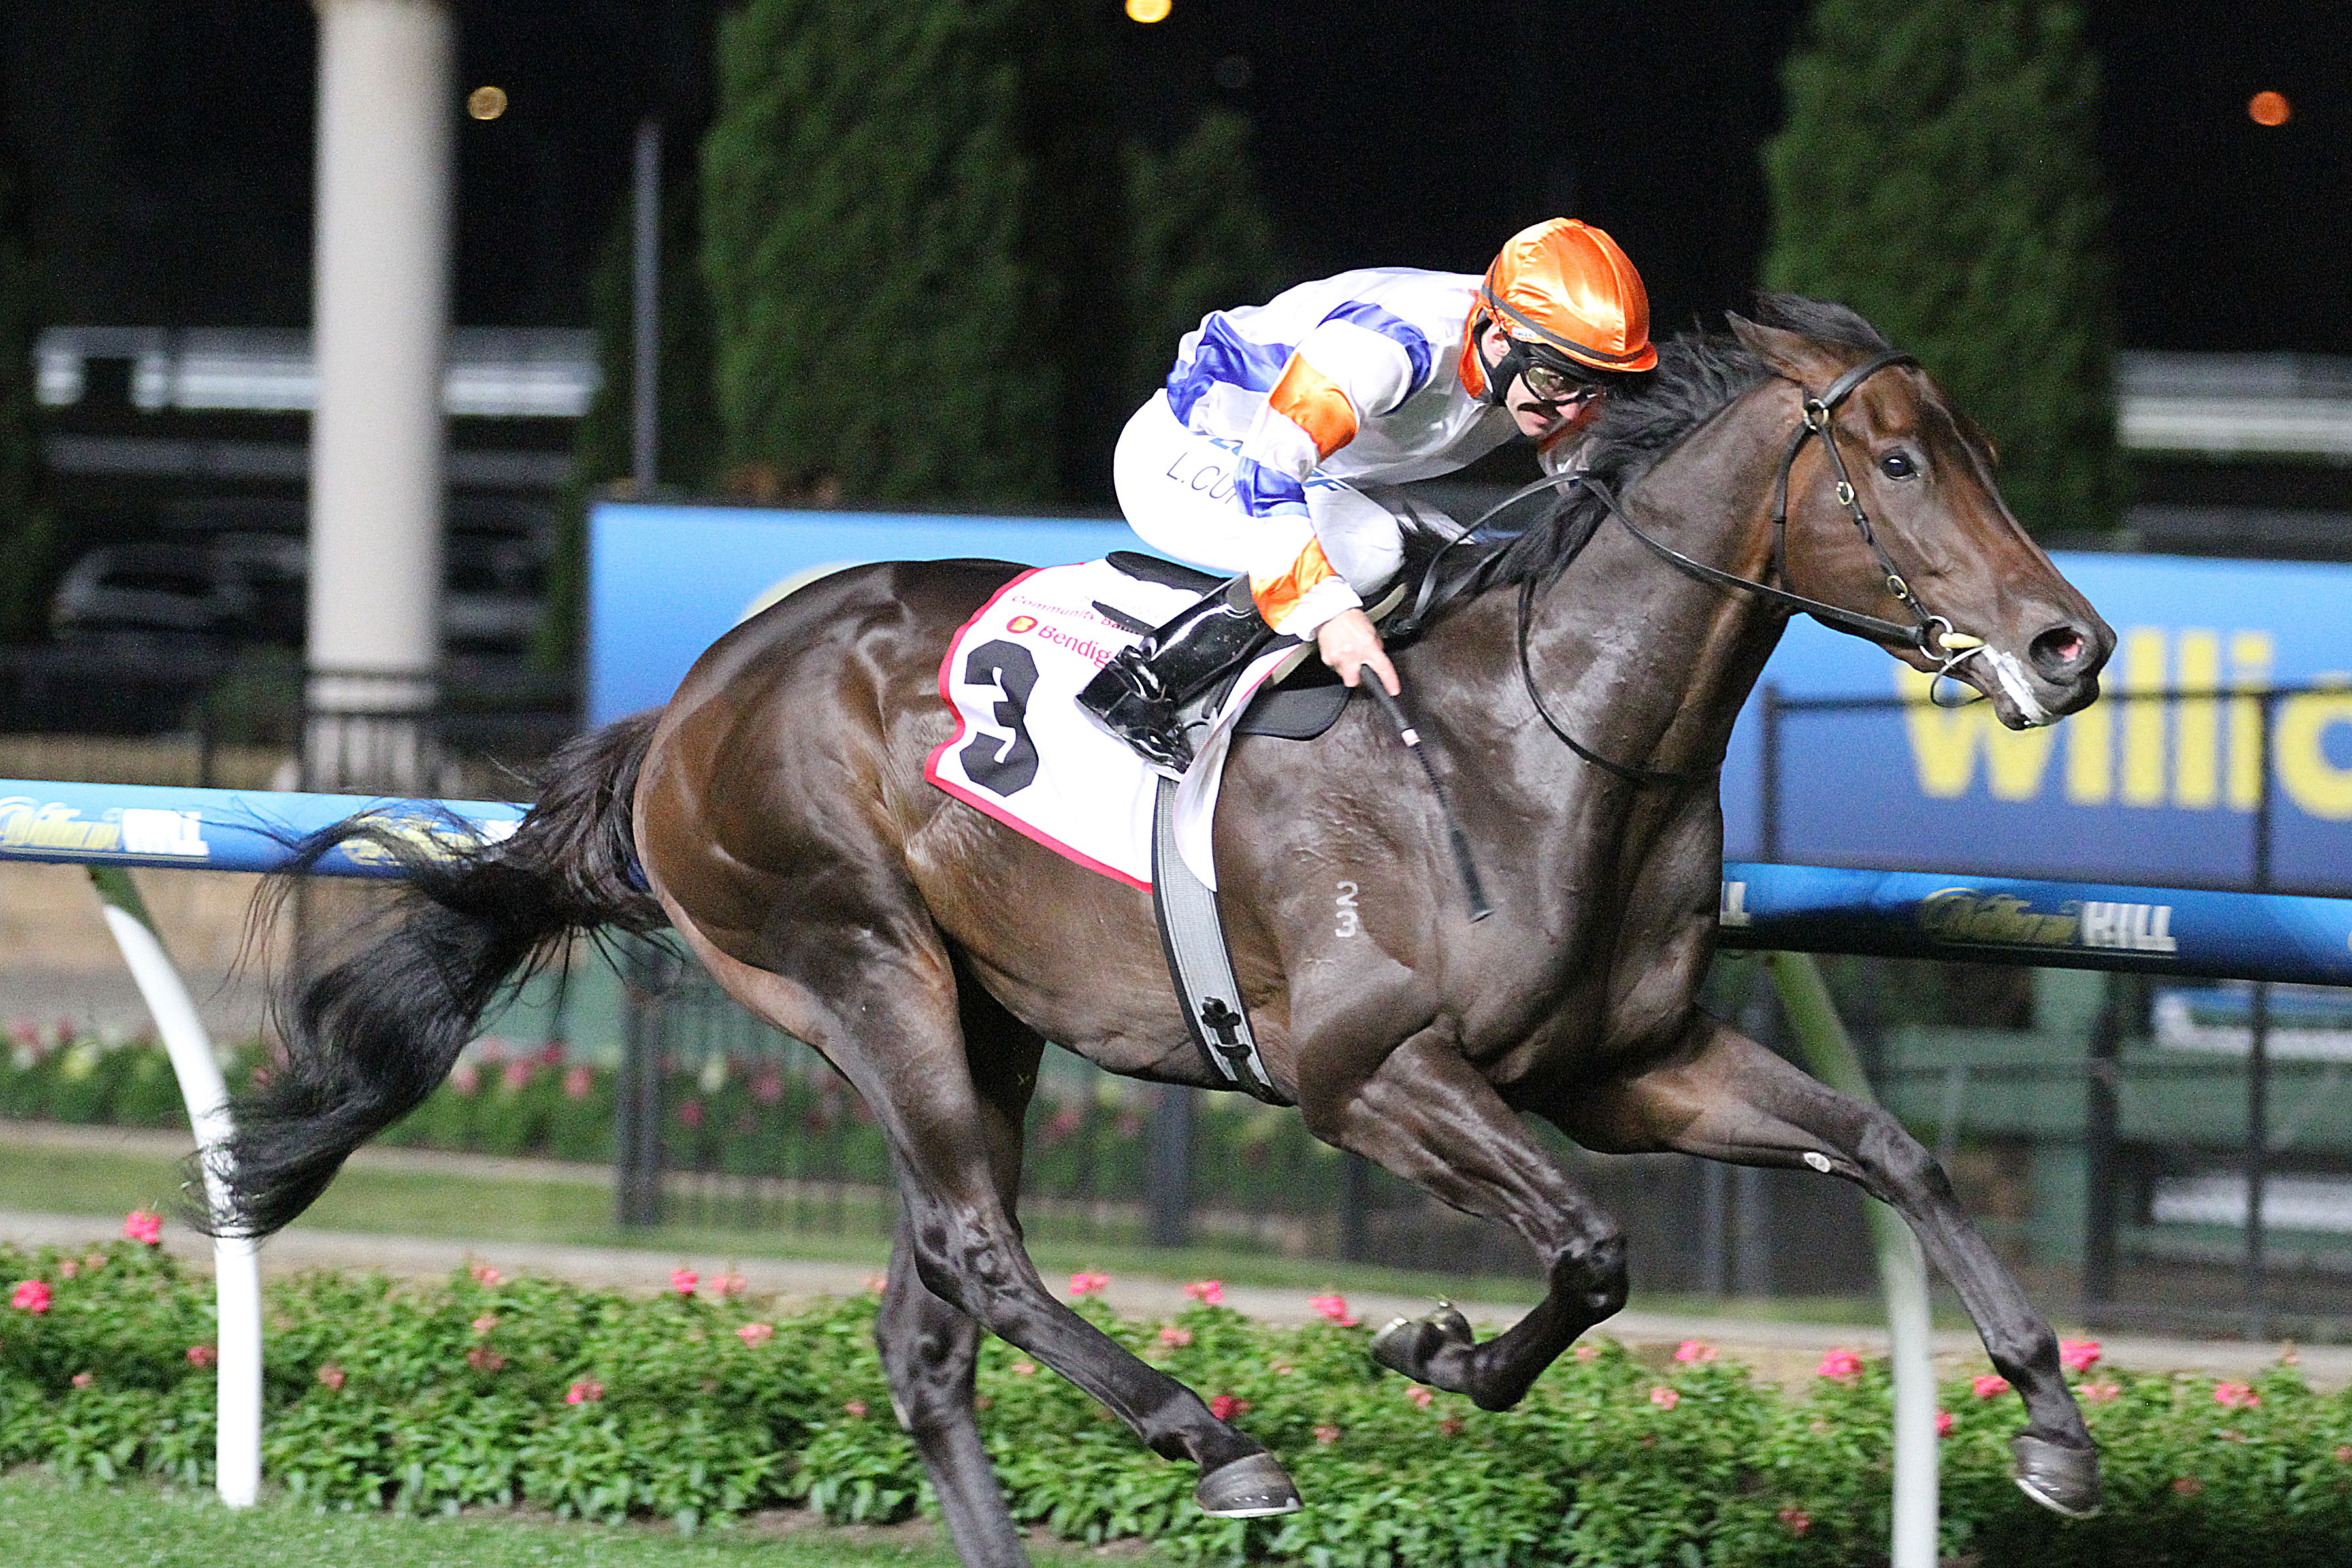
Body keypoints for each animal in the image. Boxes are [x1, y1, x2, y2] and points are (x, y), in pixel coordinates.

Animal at [229, 297, 2126, 1568]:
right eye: (1898, 461)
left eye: (1980, 454)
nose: (2070, 645)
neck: (1536, 738)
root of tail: (686, 707)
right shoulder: (1365, 1072)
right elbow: (1592, 1247)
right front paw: (1434, 1351)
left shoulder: (1634, 1060)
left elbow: (1887, 1150)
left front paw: (2051, 1422)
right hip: (858, 968)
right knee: (983, 1257)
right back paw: (1210, 1436)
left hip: (985, 1018)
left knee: (928, 1335)